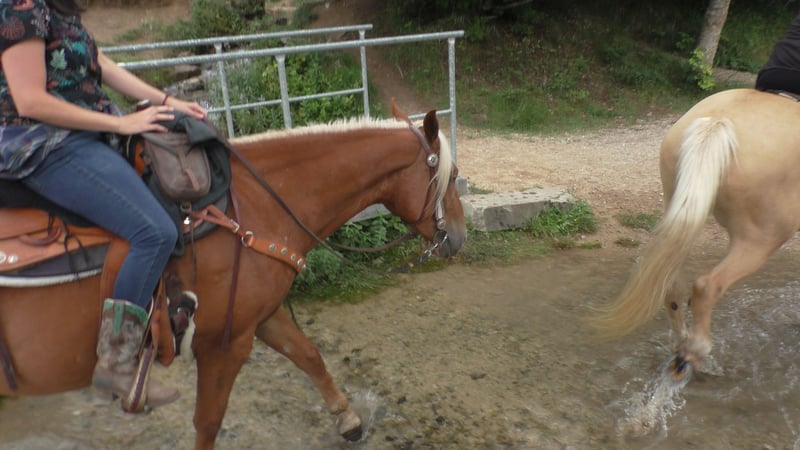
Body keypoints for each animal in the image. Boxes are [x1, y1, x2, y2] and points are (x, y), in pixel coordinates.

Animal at [0, 103, 467, 449]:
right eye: (453, 175)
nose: (459, 238)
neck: (255, 204)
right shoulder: (223, 344)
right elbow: (208, 421)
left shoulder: (259, 318)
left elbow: (308, 355)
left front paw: (349, 420)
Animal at [592, 88, 800, 379]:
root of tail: (717, 122)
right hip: (760, 240)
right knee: (706, 286)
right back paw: (694, 351)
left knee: (670, 284)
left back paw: (682, 344)